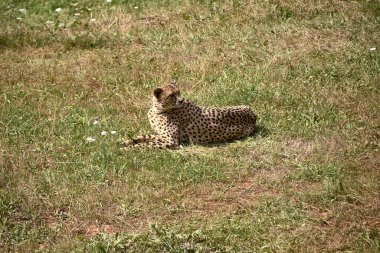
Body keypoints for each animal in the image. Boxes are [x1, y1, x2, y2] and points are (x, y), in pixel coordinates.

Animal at [123, 81, 256, 149]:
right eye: (172, 95)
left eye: (178, 92)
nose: (181, 100)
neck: (158, 110)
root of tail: (253, 116)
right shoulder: (161, 136)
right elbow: (143, 137)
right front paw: (126, 142)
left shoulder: (170, 140)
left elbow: (146, 144)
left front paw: (125, 150)